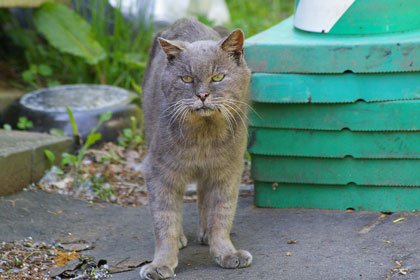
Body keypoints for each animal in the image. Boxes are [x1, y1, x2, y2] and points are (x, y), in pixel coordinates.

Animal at [141, 18, 251, 278]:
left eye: (218, 77)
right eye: (187, 79)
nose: (202, 95)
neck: (204, 138)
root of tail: (185, 20)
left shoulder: (228, 172)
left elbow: (222, 215)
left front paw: (226, 253)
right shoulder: (158, 173)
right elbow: (165, 221)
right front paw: (161, 264)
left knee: (203, 196)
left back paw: (205, 233)